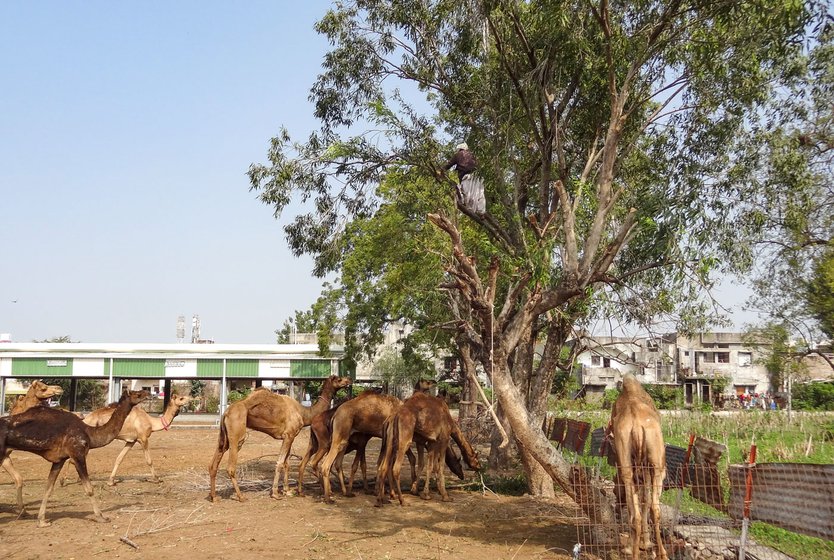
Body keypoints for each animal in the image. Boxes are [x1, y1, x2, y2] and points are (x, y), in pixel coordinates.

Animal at [210, 374, 352, 500]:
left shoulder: (289, 436)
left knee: (214, 462)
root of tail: (226, 413)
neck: (304, 413)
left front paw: (287, 490)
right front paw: (275, 493)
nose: (349, 379)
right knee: (231, 467)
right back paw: (240, 496)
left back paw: (214, 497)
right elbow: (279, 463)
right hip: (237, 433)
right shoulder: (289, 435)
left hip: (223, 437)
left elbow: (286, 464)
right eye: (339, 379)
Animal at [612, 374, 668, 560]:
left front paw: (638, 545)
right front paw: (646, 543)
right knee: (653, 508)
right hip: (656, 468)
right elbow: (645, 501)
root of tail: (636, 426)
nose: (616, 507)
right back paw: (661, 553)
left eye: (614, 490)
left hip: (631, 465)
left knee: (638, 510)